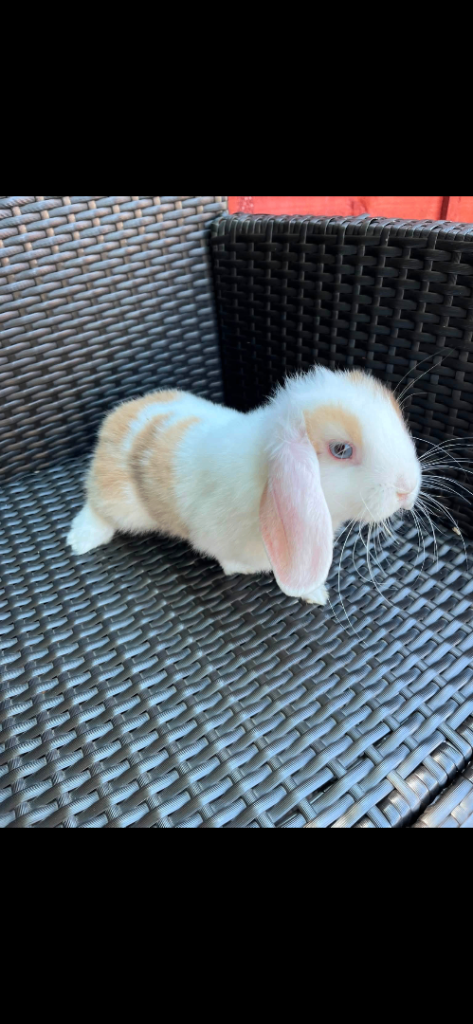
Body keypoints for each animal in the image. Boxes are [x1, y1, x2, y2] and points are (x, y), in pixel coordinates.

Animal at [67, 368, 421, 605]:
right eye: (341, 449)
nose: (408, 488)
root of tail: (114, 419)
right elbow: (231, 563)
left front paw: (315, 593)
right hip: (120, 503)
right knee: (95, 505)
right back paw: (81, 540)